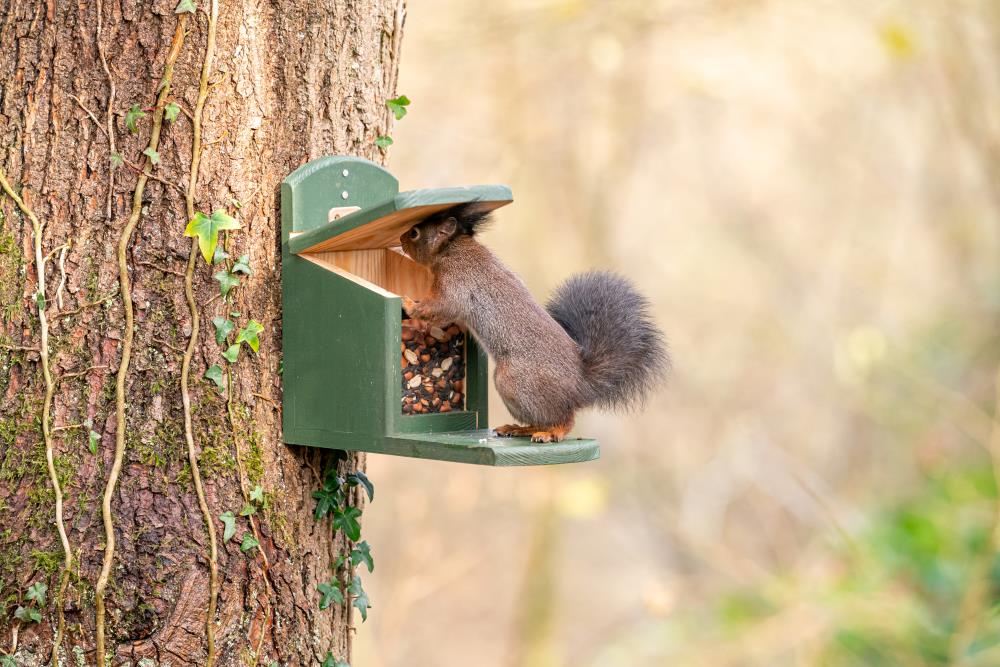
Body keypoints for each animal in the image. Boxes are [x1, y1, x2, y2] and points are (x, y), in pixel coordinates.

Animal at [399, 203, 668, 443]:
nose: (400, 239)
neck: (451, 248)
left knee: (564, 419)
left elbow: (440, 308)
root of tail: (579, 386)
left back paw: (552, 432)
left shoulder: (457, 281)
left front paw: (408, 303)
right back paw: (520, 429)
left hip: (514, 382)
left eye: (415, 233)